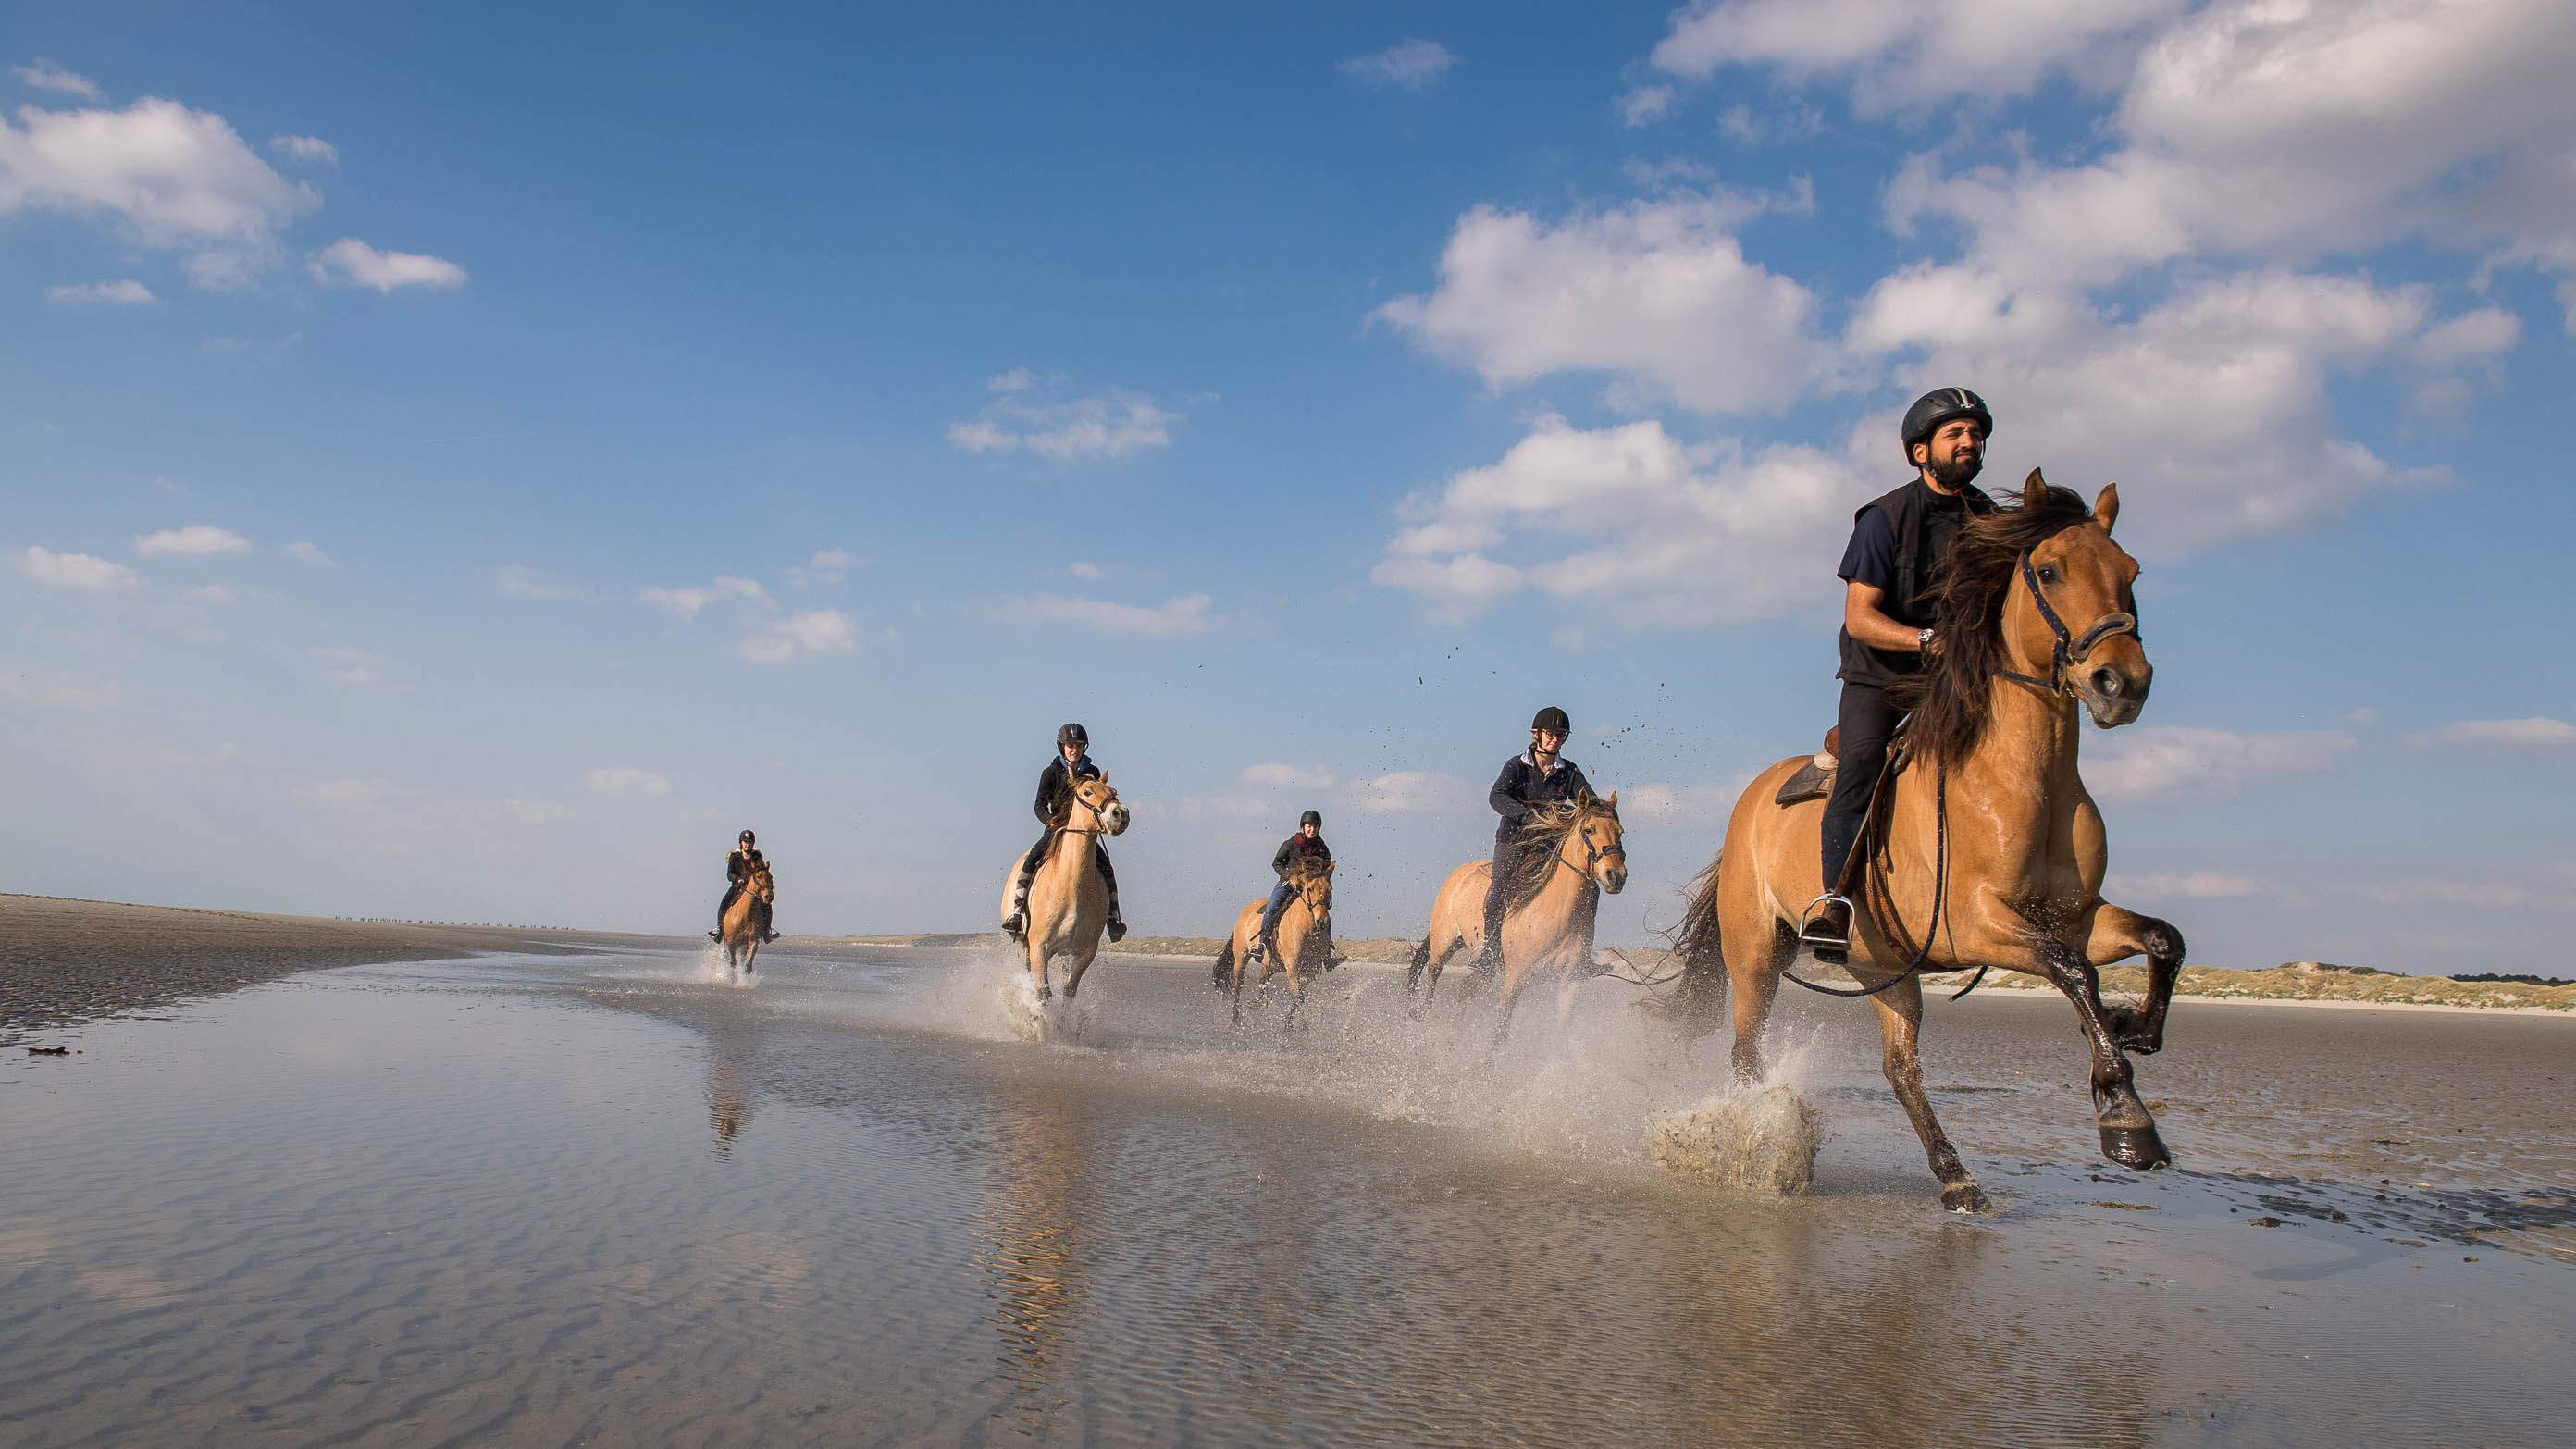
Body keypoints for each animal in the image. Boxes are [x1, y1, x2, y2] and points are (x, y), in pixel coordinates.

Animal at [1212, 858, 1335, 1030]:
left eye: (1330, 888)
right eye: (1310, 888)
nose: (1322, 921)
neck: (1307, 929)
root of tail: (1246, 909)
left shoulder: (1310, 970)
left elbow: (1299, 996)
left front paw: (1288, 1022)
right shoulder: (1292, 967)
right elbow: (1300, 997)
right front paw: (1304, 1027)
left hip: (1272, 964)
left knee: (1262, 980)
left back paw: (1256, 1003)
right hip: (1241, 957)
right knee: (1238, 985)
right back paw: (1236, 1018)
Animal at [1406, 791, 1627, 1043]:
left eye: (1620, 831)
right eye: (1589, 830)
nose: (1616, 876)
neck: (1556, 915)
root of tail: (1460, 873)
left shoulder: (1570, 981)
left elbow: (1562, 1029)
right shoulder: (1514, 981)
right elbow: (1500, 1033)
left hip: (1486, 967)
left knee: (1465, 990)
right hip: (1444, 943)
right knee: (1433, 975)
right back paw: (1422, 1013)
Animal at [1664, 471, 2183, 1211]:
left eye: (2131, 572)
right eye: (2049, 571)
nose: (2123, 682)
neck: (2019, 779)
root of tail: (1749, 802)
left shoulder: (2076, 916)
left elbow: (2161, 939)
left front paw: (2133, 1027)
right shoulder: (1978, 924)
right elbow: (2072, 969)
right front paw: (2125, 1117)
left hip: (1884, 968)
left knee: (1900, 1068)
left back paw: (1956, 1176)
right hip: (1757, 955)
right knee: (1747, 1052)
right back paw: (1751, 1140)